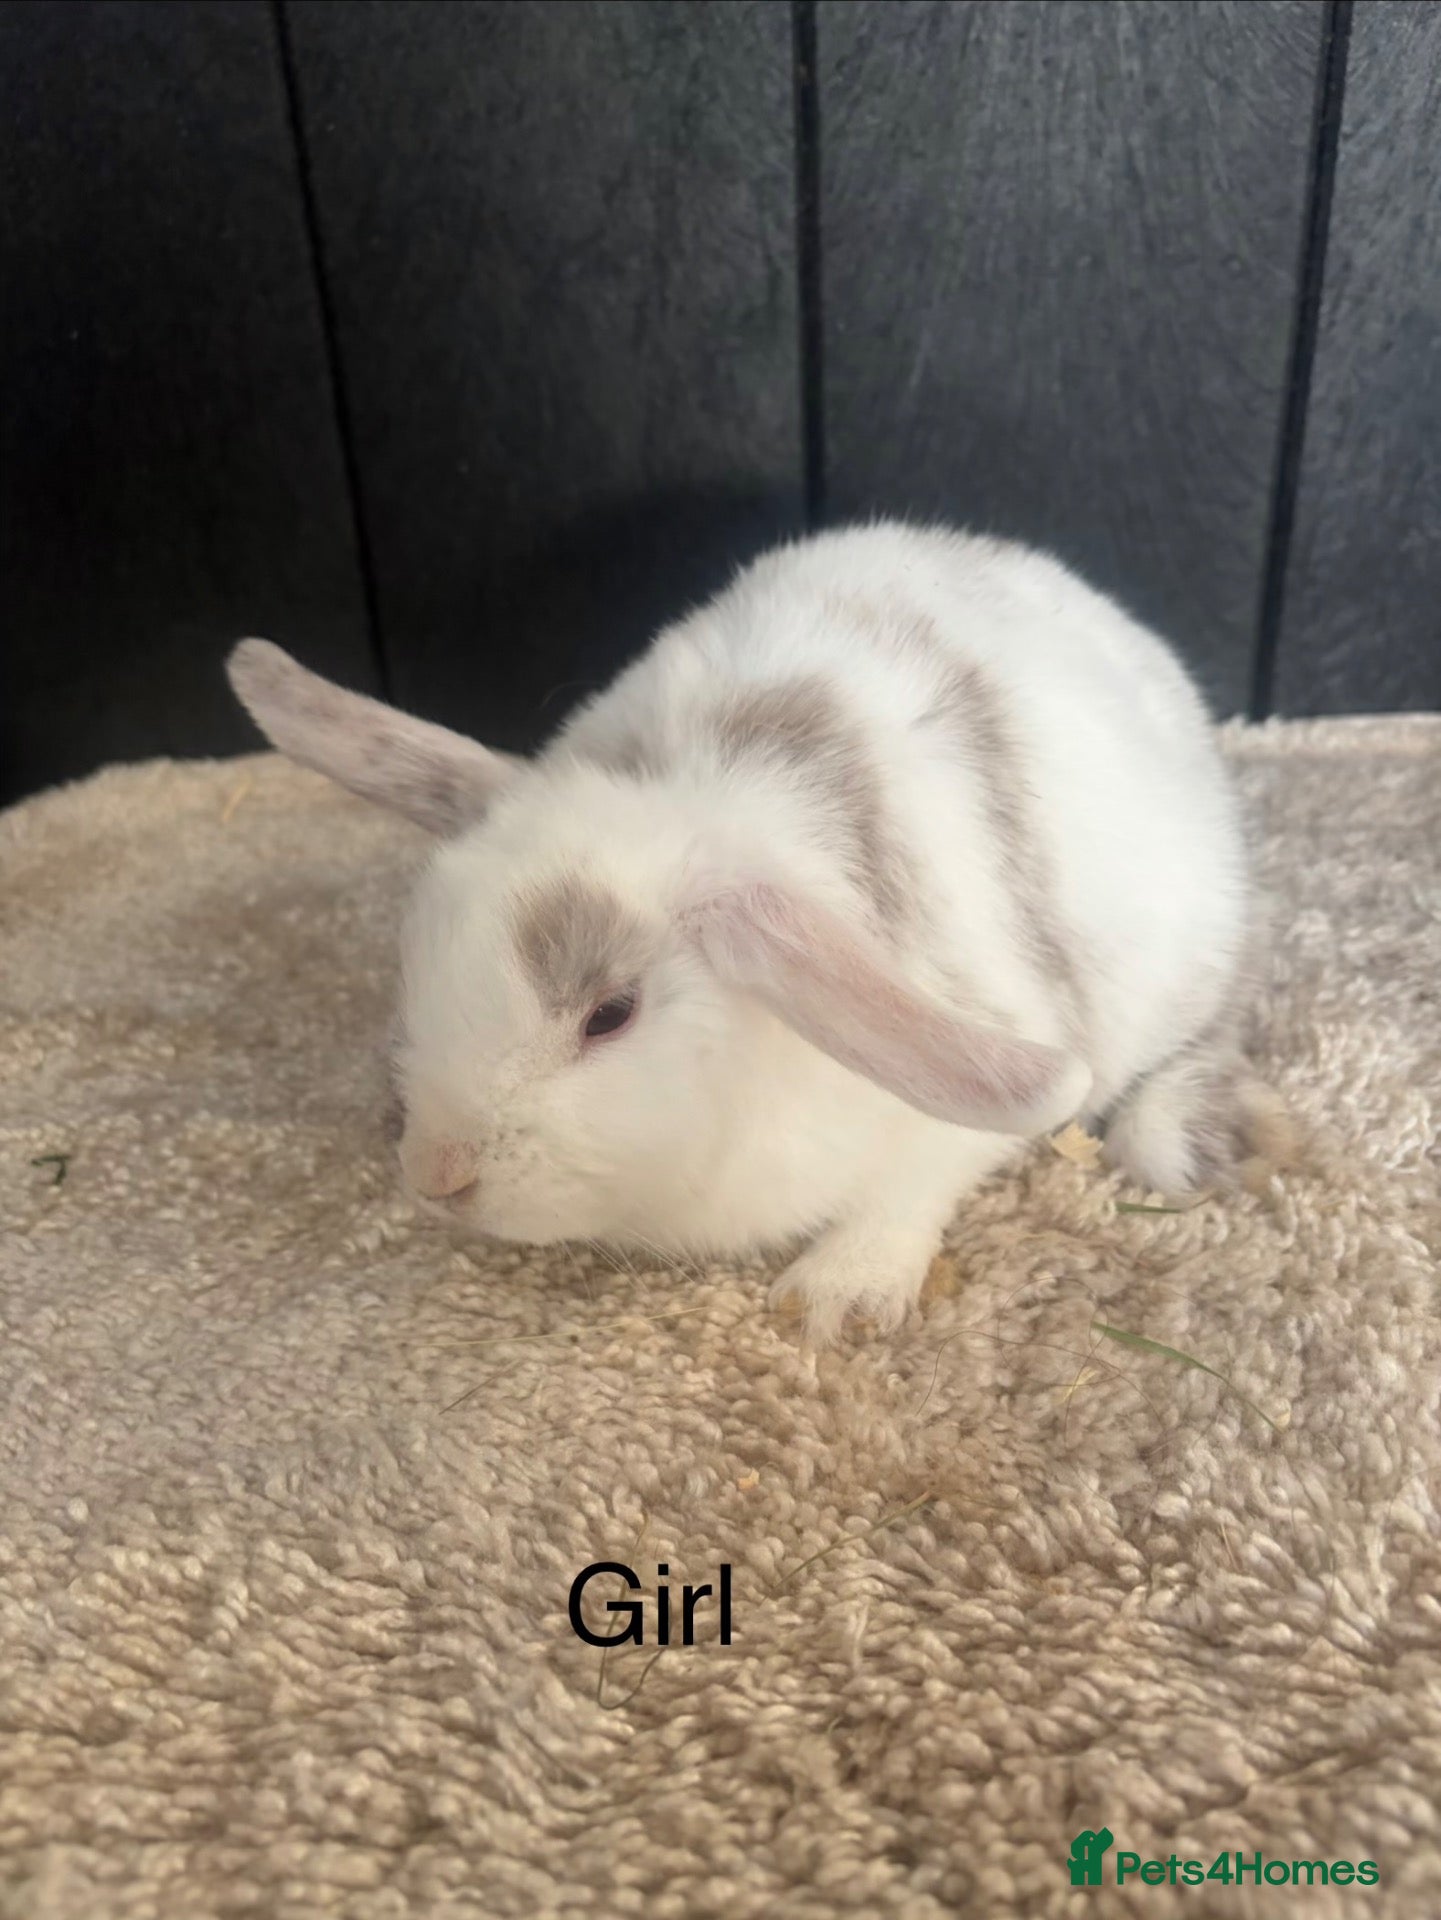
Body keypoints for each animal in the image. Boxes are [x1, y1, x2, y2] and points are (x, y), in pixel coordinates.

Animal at [227, 520, 1279, 1341]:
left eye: (610, 1014)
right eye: (416, 958)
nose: (435, 1175)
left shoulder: (967, 1079)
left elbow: (919, 1178)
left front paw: (835, 1302)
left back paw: (1184, 1139)